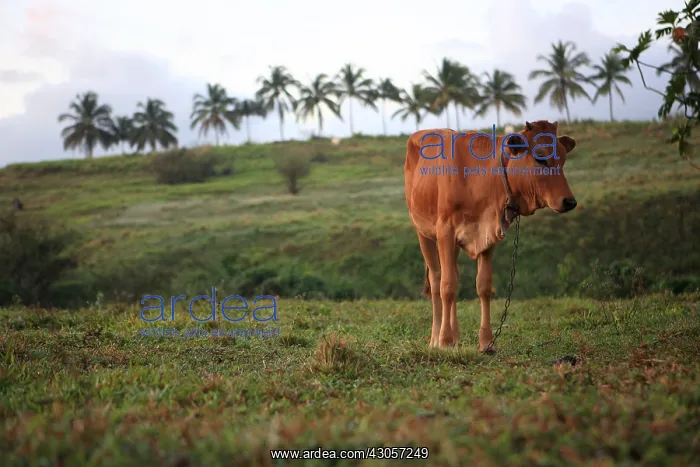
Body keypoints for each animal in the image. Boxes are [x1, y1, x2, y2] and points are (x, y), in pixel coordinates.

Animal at [403, 120, 577, 352]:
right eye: (541, 158)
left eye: (564, 160)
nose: (570, 202)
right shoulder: (445, 232)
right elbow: (447, 287)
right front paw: (444, 340)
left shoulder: (488, 235)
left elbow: (483, 286)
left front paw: (485, 342)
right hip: (424, 234)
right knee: (437, 279)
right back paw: (436, 338)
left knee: (454, 276)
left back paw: (455, 334)